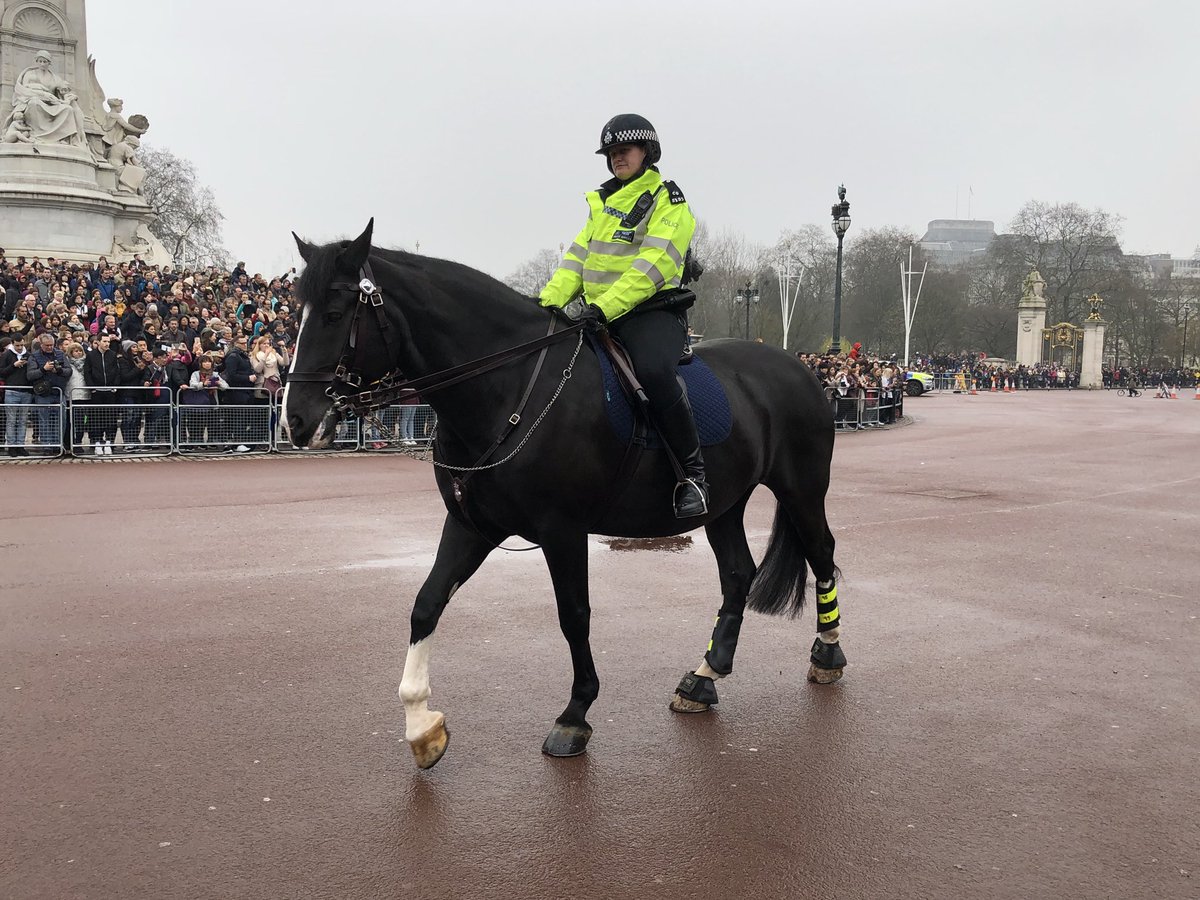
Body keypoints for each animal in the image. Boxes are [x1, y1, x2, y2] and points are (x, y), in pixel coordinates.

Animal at [283, 220, 844, 770]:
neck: (508, 388)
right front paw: (422, 726)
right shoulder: (472, 526)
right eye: (298, 312)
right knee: (737, 574)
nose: (296, 420)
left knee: (821, 552)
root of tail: (799, 366)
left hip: (801, 488)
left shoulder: (563, 530)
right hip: (725, 503)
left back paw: (828, 653)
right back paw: (706, 675)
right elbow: (427, 604)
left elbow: (574, 615)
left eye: (334, 313)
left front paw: (575, 713)